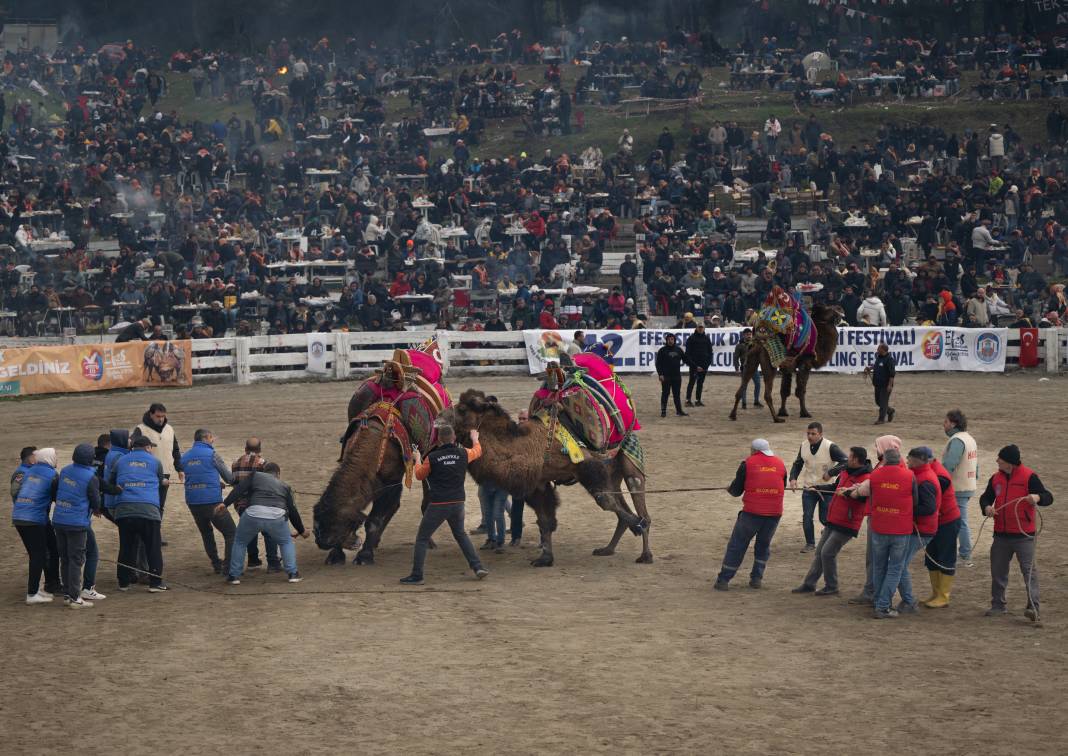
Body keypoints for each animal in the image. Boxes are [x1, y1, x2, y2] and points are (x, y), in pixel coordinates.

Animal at [313, 341, 452, 559]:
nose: (321, 541)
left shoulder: (392, 484)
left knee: (426, 500)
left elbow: (374, 520)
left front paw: (364, 555)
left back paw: (427, 540)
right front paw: (336, 556)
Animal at [440, 352, 649, 563]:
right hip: (612, 471)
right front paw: (545, 558)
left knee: (639, 501)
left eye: (462, 409)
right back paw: (607, 548)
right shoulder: (538, 483)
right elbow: (545, 521)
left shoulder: (586, 463)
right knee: (621, 503)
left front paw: (636, 524)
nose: (440, 416)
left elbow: (605, 500)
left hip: (628, 460)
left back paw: (645, 553)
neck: (532, 445)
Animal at [730, 284, 837, 422]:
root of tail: (758, 342)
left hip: (751, 362)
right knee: (767, 393)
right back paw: (776, 418)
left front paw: (783, 411)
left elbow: (784, 390)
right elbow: (801, 390)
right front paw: (805, 413)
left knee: (741, 388)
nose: (840, 313)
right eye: (827, 309)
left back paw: (733, 415)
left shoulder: (787, 366)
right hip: (769, 364)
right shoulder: (805, 362)